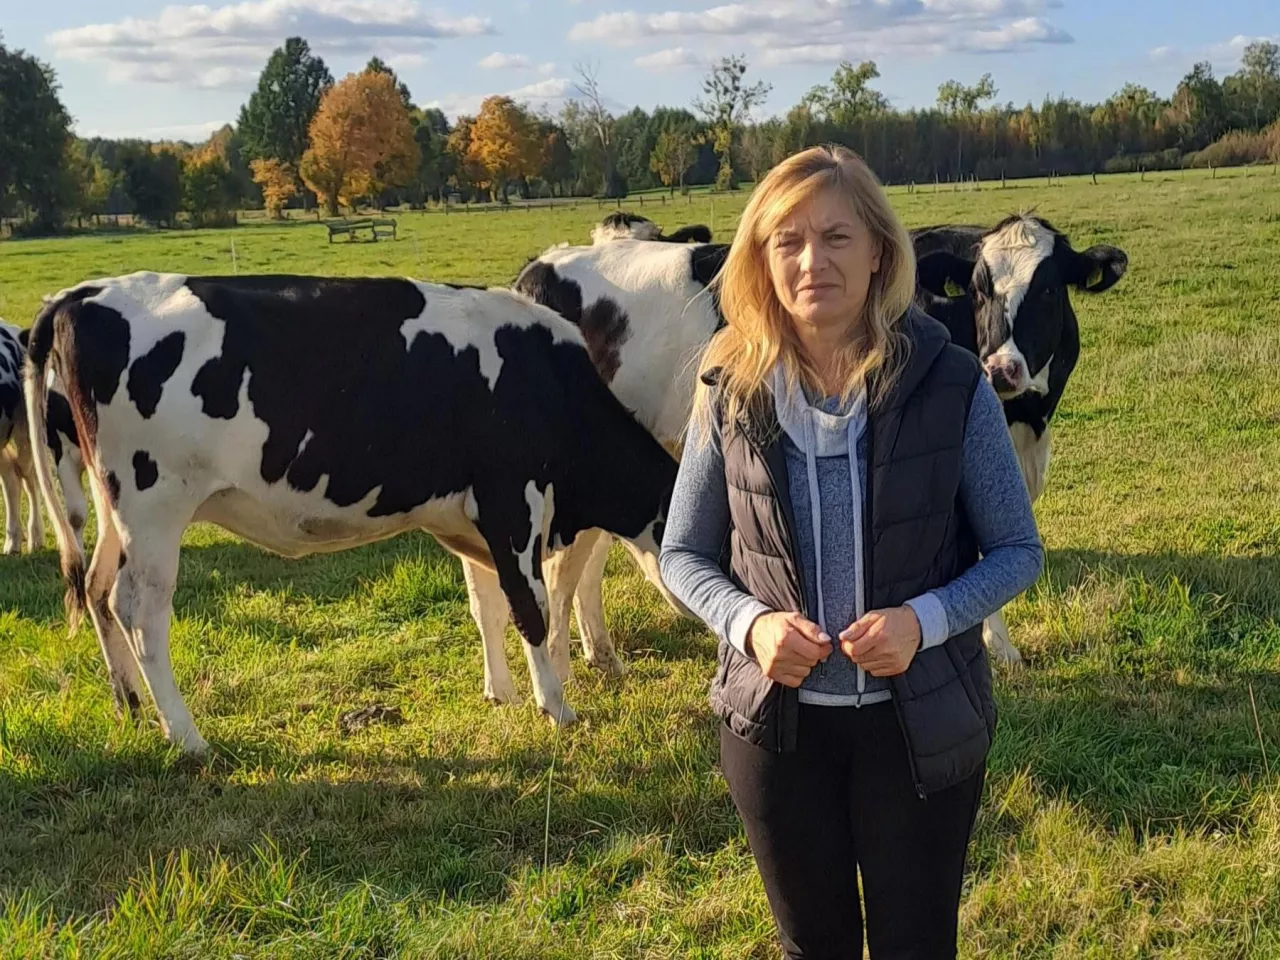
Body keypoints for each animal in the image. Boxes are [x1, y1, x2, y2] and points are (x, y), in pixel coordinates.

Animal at [24, 272, 686, 757]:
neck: (549, 381)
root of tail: (81, 294)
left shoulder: (468, 518)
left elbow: (487, 605)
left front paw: (501, 693)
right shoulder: (510, 500)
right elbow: (531, 609)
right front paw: (556, 706)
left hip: (114, 509)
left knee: (97, 589)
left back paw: (130, 708)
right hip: (154, 507)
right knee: (140, 613)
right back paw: (187, 737)